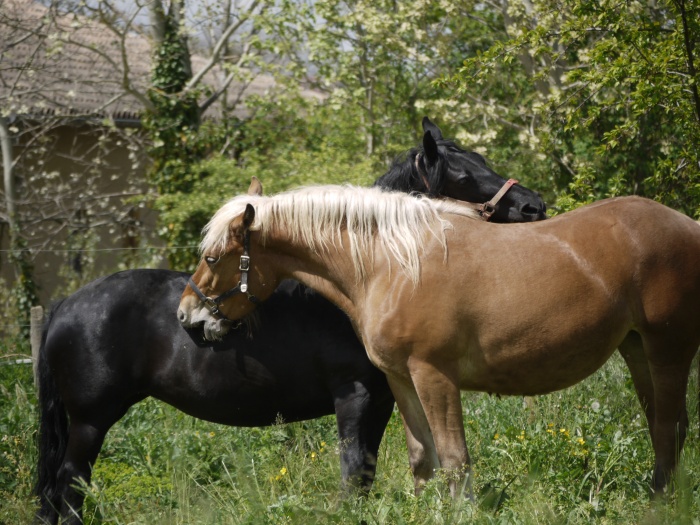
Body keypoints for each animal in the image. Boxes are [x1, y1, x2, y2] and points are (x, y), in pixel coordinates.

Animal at [34, 117, 548, 524]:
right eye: (464, 174)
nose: (534, 205)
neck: (359, 281)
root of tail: (65, 304)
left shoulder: (383, 399)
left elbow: (365, 477)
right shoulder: (355, 396)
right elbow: (353, 476)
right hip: (90, 422)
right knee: (70, 491)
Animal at [180, 182, 700, 498]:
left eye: (212, 256)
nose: (186, 317)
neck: (391, 265)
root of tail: (688, 226)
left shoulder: (434, 377)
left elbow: (454, 460)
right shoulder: (401, 379)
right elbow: (422, 461)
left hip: (668, 350)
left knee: (669, 429)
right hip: (637, 349)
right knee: (664, 430)